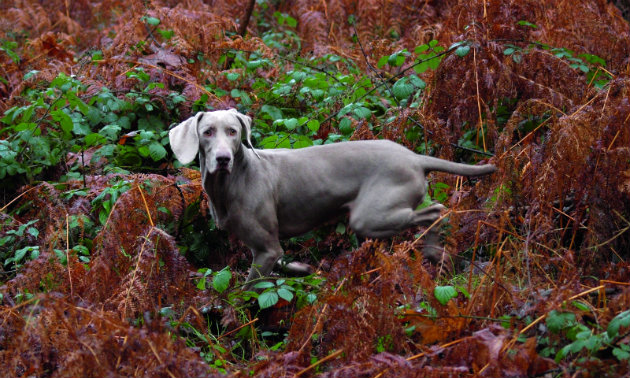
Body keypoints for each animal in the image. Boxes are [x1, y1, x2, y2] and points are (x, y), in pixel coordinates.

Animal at [172, 109, 498, 286]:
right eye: (207, 132)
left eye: (233, 131)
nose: (223, 159)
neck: (232, 181)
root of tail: (415, 157)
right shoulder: (271, 249)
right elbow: (285, 262)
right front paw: (302, 269)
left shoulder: (265, 249)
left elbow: (247, 291)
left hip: (371, 216)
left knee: (437, 210)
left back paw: (435, 253)